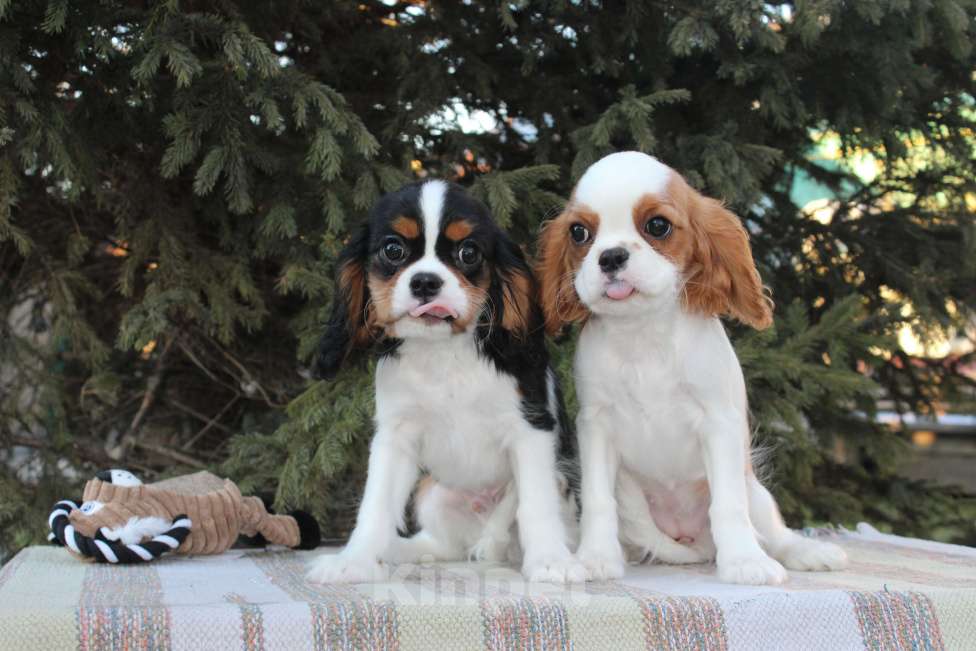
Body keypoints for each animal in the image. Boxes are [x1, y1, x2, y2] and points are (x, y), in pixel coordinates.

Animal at [306, 180, 580, 584]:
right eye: (393, 249)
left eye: (468, 253)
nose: (425, 282)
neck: (443, 352)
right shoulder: (395, 436)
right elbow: (376, 504)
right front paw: (353, 561)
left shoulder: (530, 427)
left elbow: (535, 502)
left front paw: (550, 560)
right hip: (432, 493)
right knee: (445, 546)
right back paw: (400, 550)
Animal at [536, 152, 852, 584]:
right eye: (579, 233)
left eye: (658, 225)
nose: (611, 256)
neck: (643, 332)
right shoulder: (595, 426)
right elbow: (599, 500)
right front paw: (596, 557)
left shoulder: (719, 422)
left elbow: (728, 504)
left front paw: (744, 562)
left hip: (756, 491)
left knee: (774, 531)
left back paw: (807, 552)